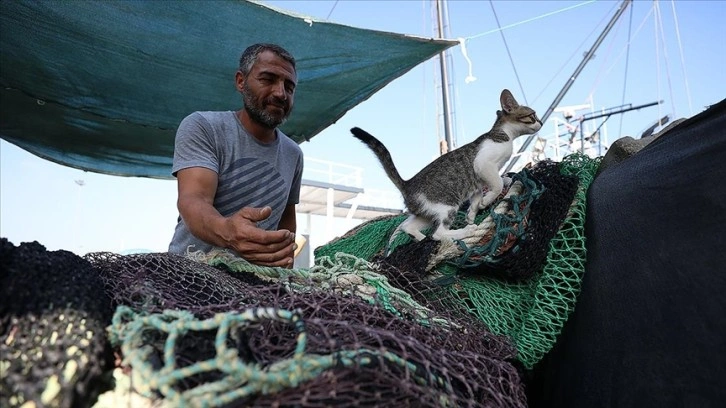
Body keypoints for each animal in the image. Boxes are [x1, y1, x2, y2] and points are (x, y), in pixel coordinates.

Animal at [350, 89, 544, 241]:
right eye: (532, 115)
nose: (541, 122)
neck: (505, 135)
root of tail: (407, 184)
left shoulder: (479, 181)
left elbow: (478, 195)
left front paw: (472, 212)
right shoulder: (483, 164)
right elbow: (496, 185)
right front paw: (486, 202)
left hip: (426, 213)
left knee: (409, 227)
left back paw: (421, 238)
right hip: (446, 206)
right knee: (438, 233)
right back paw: (465, 232)